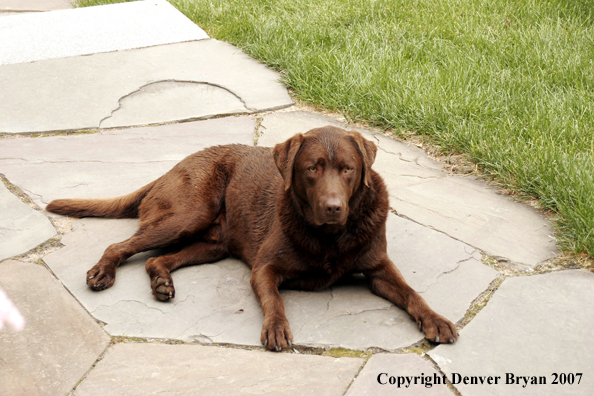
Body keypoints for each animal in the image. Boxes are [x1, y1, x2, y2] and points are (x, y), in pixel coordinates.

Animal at [48, 126, 456, 350]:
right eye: (312, 169)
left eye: (348, 169)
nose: (333, 207)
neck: (331, 237)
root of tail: (172, 167)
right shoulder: (265, 268)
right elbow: (275, 300)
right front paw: (276, 329)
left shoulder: (379, 268)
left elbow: (412, 293)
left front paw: (436, 320)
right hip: (189, 214)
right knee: (122, 246)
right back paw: (103, 273)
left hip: (212, 244)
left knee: (155, 258)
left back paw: (162, 282)